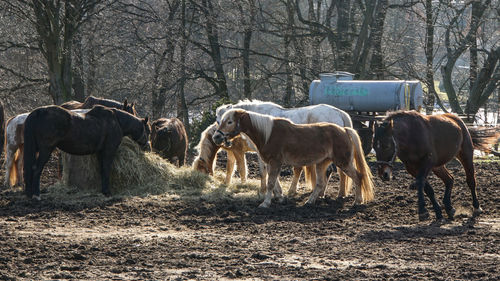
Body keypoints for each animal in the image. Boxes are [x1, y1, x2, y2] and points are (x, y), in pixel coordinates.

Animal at [22, 104, 150, 198]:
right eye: (148, 131)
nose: (148, 148)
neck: (116, 121)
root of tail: (39, 112)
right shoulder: (108, 151)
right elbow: (106, 169)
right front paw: (107, 192)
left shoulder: (100, 153)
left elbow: (102, 170)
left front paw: (103, 190)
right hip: (45, 150)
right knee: (36, 169)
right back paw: (36, 194)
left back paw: (29, 194)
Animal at [213, 108, 374, 207]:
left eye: (229, 121)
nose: (216, 137)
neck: (268, 134)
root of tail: (344, 130)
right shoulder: (271, 163)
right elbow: (273, 181)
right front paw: (280, 197)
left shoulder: (275, 162)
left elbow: (271, 182)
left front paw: (265, 203)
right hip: (322, 163)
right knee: (320, 183)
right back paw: (310, 201)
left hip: (343, 162)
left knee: (358, 176)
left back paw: (357, 201)